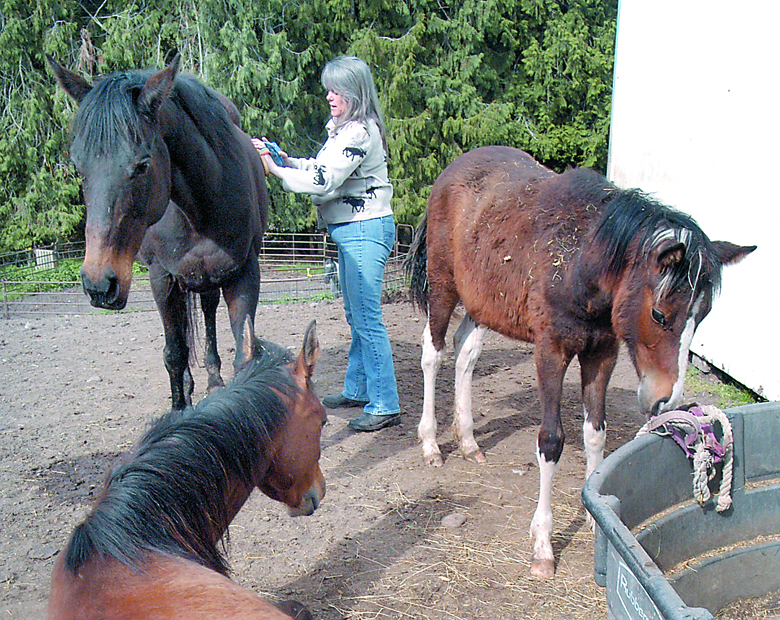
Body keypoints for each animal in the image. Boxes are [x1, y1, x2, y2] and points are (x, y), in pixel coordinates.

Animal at [47, 54, 269, 410]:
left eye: (143, 165)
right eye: (79, 168)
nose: (98, 284)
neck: (201, 207)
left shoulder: (245, 272)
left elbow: (245, 355)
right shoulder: (161, 278)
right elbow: (175, 354)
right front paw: (181, 408)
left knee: (208, 314)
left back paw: (213, 379)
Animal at [404, 146, 756, 579]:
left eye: (702, 317)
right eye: (659, 314)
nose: (666, 399)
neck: (580, 263)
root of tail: (451, 171)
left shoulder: (601, 352)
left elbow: (595, 433)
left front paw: (594, 511)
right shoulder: (550, 350)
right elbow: (551, 441)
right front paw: (542, 546)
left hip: (483, 300)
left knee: (465, 351)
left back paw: (468, 441)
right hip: (443, 286)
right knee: (433, 352)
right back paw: (431, 444)